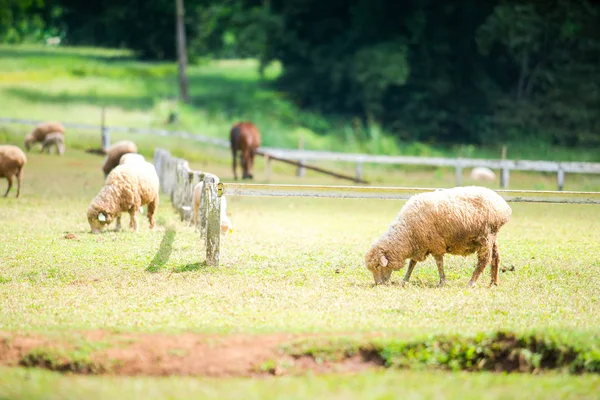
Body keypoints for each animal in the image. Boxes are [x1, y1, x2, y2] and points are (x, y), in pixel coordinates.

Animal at [366, 187, 510, 288]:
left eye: (378, 266)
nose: (378, 284)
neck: (407, 233)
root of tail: (505, 207)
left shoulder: (436, 244)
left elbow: (439, 263)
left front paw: (442, 282)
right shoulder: (419, 245)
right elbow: (412, 263)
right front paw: (405, 280)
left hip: (486, 236)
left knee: (484, 260)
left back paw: (472, 283)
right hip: (493, 236)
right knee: (496, 257)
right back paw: (494, 282)